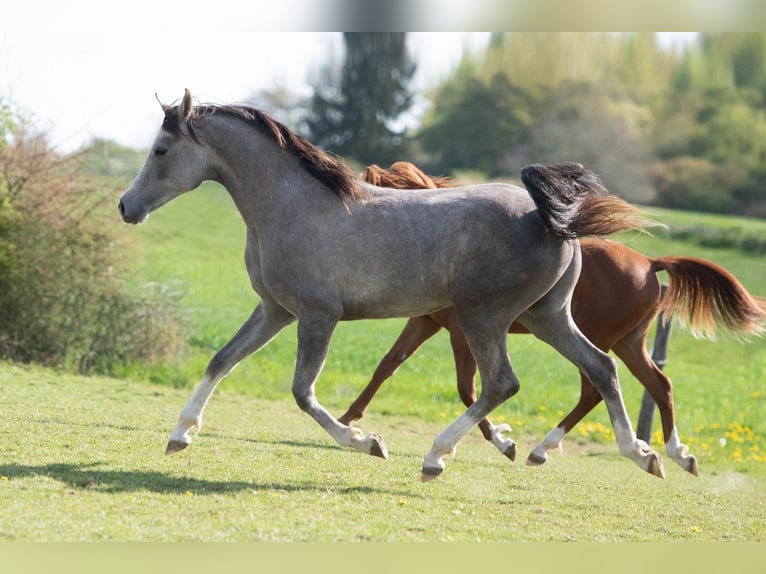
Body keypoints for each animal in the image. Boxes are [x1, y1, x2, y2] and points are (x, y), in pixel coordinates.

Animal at [118, 89, 663, 481]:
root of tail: (552, 221)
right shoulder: (275, 309)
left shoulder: (317, 315)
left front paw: (369, 443)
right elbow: (221, 360)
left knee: (502, 382)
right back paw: (640, 454)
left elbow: (302, 393)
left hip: (483, 316)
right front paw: (180, 435)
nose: (126, 206)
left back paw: (437, 456)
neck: (291, 205)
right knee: (601, 367)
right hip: (545, 315)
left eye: (160, 149)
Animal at [338, 162, 766, 476]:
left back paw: (544, 449)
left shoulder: (462, 327)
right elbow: (387, 366)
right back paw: (671, 453)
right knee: (654, 384)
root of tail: (650, 262)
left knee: (595, 387)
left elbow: (467, 387)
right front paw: (349, 419)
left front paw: (500, 443)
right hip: (626, 343)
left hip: (597, 335)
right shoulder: (426, 322)